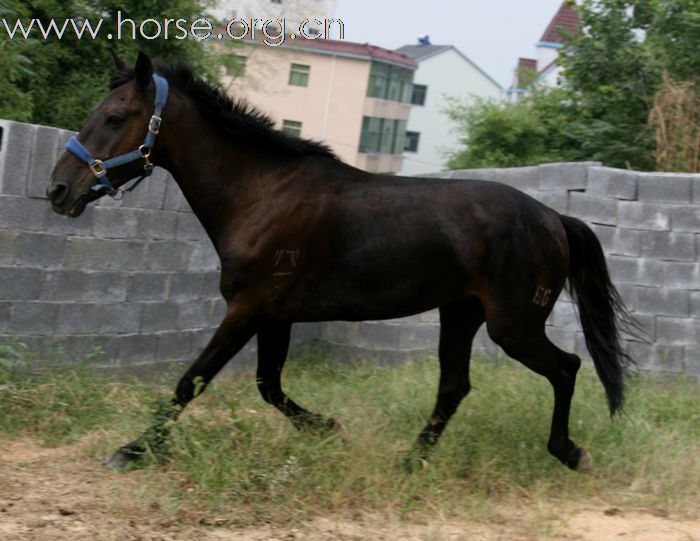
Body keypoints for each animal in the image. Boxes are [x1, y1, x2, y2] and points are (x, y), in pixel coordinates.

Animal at [46, 52, 632, 470]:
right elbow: (268, 385)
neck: (262, 194)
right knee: (454, 387)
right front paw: (329, 429)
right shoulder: (274, 314)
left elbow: (192, 381)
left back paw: (571, 453)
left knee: (566, 366)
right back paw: (410, 462)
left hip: (512, 325)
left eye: (114, 118)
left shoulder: (247, 308)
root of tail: (554, 218)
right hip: (461, 313)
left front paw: (133, 451)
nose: (58, 190)